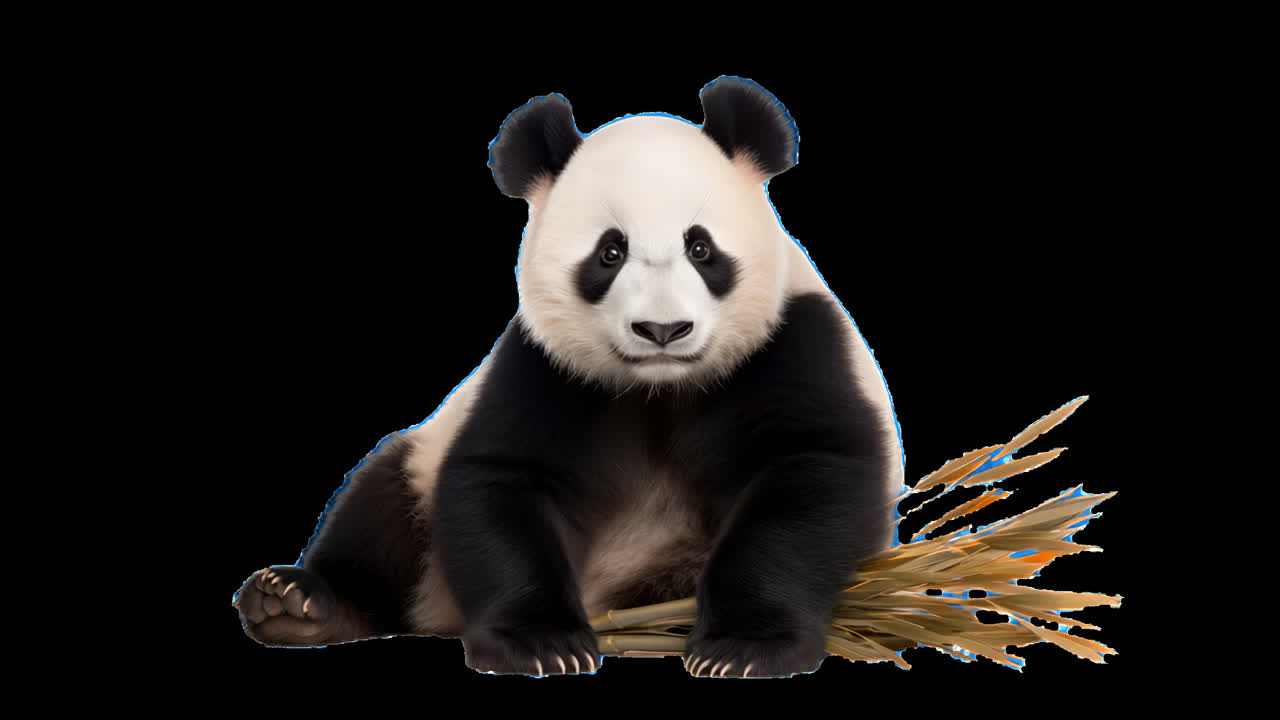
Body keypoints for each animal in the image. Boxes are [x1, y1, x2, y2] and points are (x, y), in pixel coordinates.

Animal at [234, 77, 905, 679]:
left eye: (701, 249)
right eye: (610, 253)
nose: (662, 330)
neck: (660, 386)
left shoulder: (794, 342)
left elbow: (809, 474)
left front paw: (743, 648)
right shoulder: (544, 366)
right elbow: (503, 481)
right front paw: (541, 644)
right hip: (420, 482)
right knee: (382, 506)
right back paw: (296, 604)